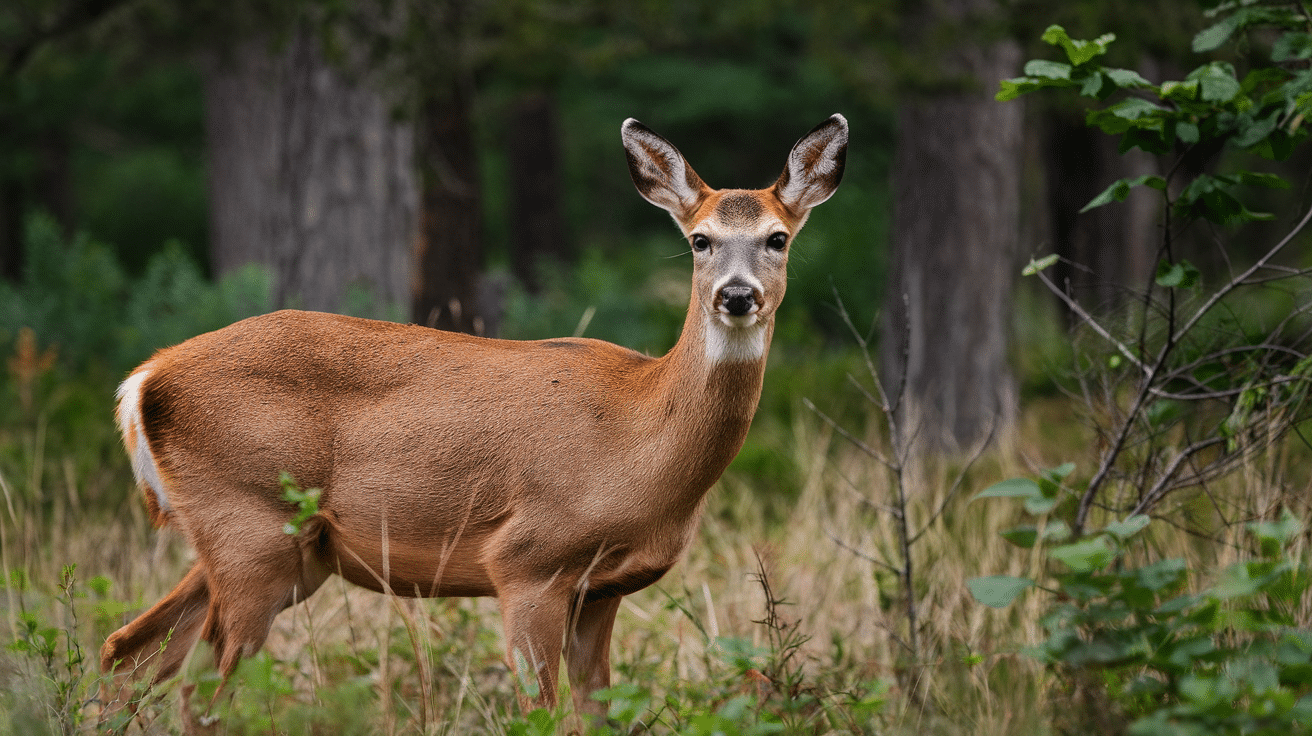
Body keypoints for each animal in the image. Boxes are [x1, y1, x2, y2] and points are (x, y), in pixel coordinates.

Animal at [100, 114, 847, 719]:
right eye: (699, 240)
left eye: (777, 238)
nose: (737, 296)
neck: (637, 438)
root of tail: (144, 380)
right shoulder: (526, 561)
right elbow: (538, 712)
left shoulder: (602, 590)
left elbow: (600, 712)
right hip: (249, 524)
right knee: (201, 693)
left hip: (279, 551)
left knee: (127, 651)